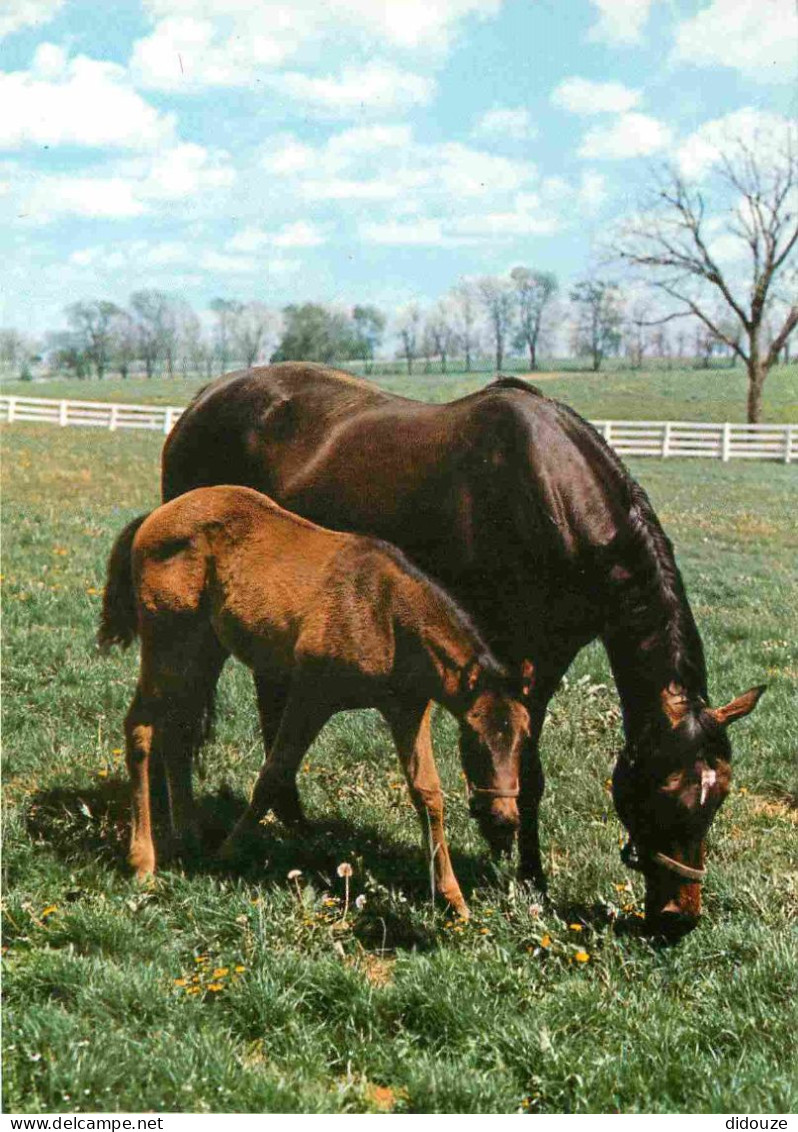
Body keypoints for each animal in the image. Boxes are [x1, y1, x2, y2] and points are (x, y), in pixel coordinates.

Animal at [99, 482, 529, 914]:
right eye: (474, 740)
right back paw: (143, 860)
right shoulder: (311, 694)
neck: (387, 616)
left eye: (523, 739)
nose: (506, 818)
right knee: (141, 727)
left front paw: (453, 899)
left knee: (179, 730)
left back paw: (187, 835)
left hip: (205, 648)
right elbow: (274, 773)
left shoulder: (408, 710)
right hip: (165, 640)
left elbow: (428, 793)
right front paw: (228, 852)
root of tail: (156, 516)